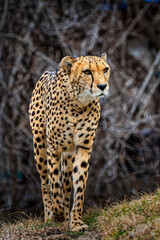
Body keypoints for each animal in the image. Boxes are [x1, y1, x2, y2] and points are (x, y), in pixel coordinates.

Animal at [29, 54, 110, 231]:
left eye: (105, 69)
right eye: (87, 72)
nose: (102, 86)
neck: (78, 103)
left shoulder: (83, 147)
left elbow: (79, 185)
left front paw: (76, 222)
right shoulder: (54, 149)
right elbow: (54, 184)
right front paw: (57, 214)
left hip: (69, 154)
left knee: (65, 184)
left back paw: (66, 214)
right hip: (39, 146)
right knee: (45, 182)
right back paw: (50, 216)